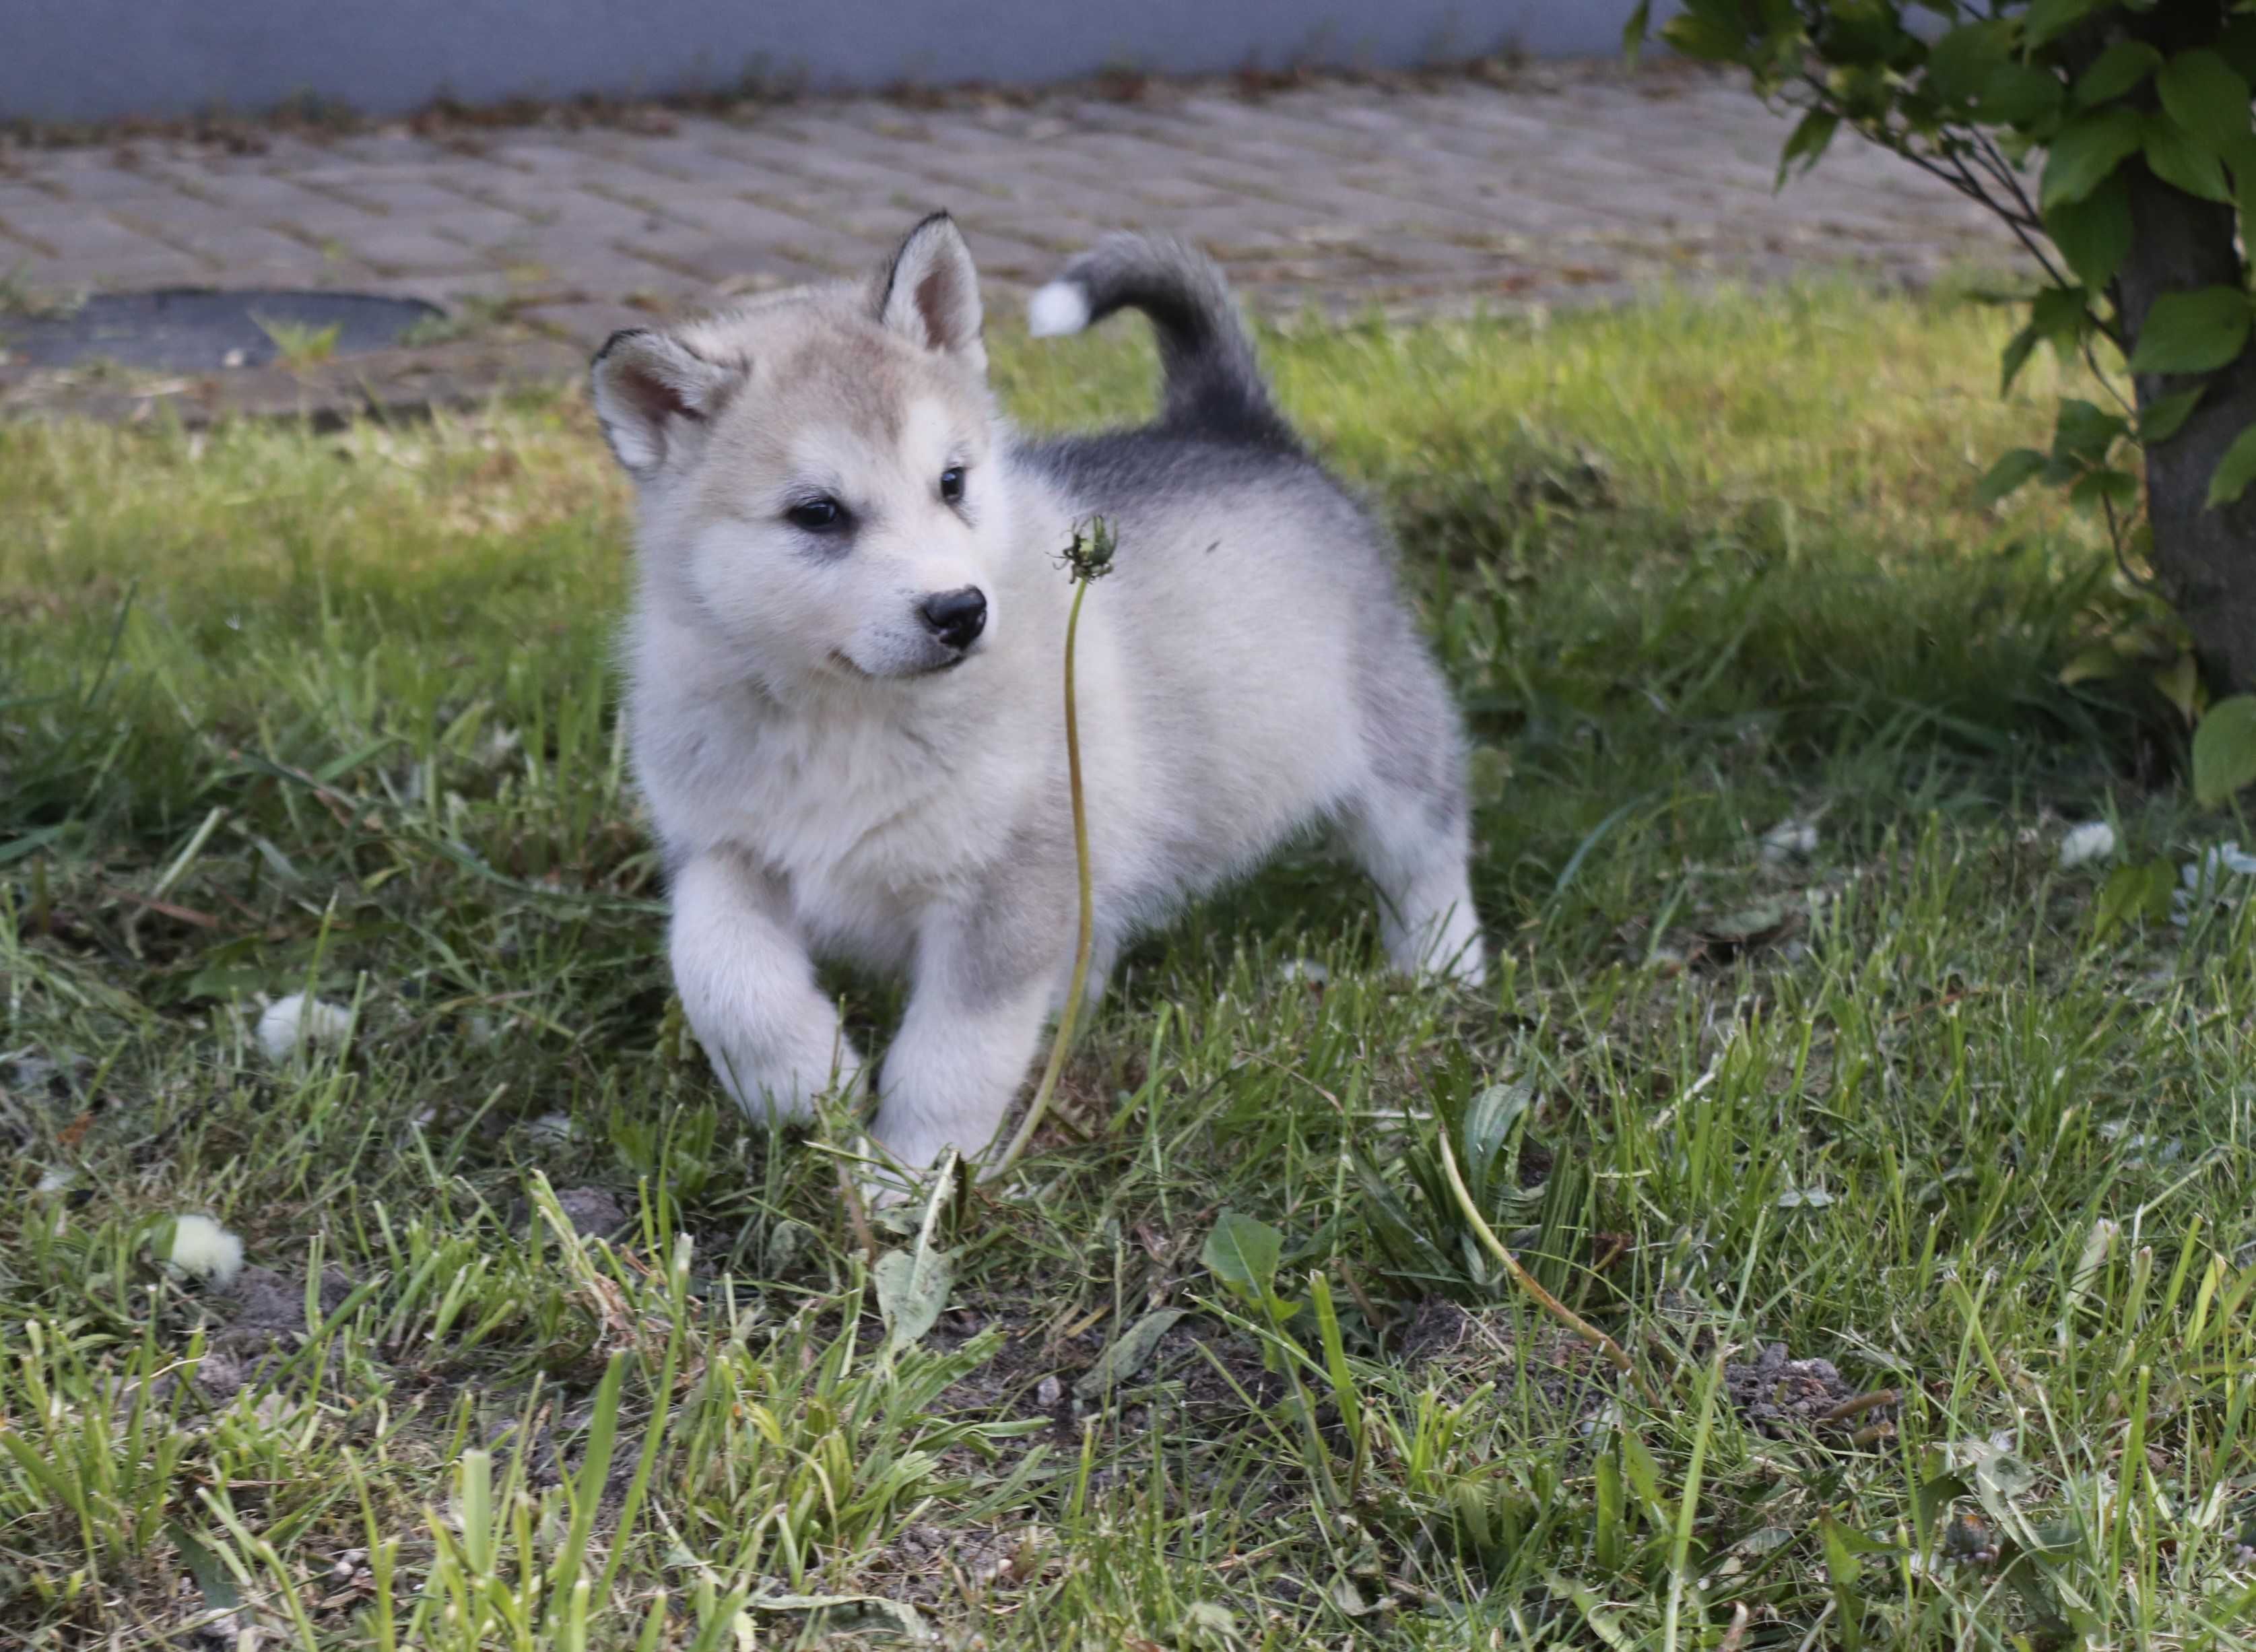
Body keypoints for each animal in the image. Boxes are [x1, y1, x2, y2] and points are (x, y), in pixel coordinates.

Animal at [591, 216, 1489, 1173]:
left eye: (951, 482)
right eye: (817, 513)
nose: (960, 611)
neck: (848, 713)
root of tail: (1234, 426)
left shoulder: (1011, 884)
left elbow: (953, 1052)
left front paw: (914, 1173)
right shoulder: (718, 842)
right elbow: (716, 965)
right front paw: (798, 1077)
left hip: (1390, 745)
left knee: (1426, 855)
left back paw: (1446, 972)